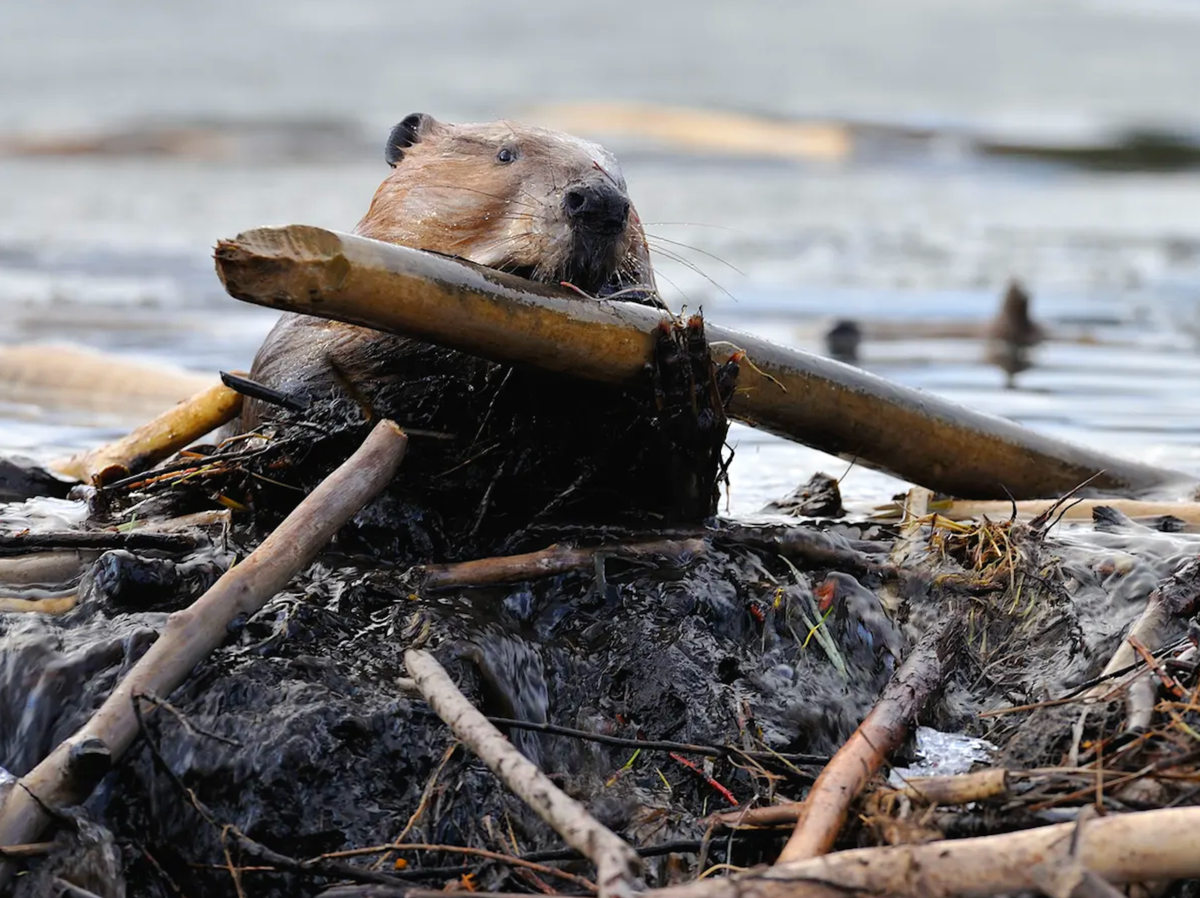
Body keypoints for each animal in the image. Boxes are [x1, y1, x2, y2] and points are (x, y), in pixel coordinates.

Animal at [241, 114, 729, 561]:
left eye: (619, 174)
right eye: (505, 154)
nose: (600, 201)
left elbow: (667, 501)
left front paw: (682, 363)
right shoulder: (295, 355)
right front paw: (401, 518)